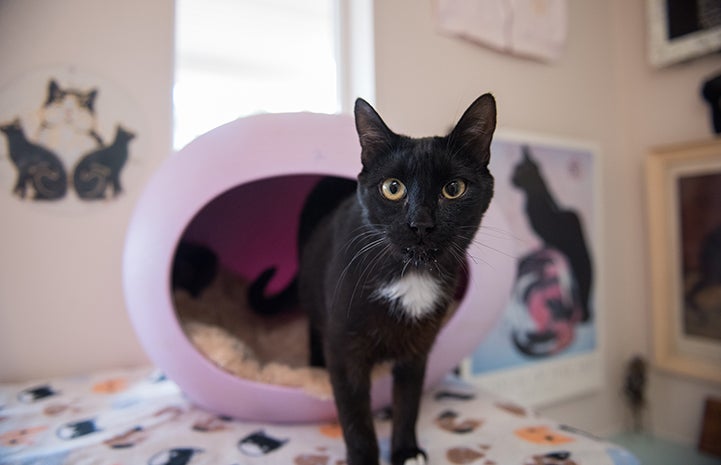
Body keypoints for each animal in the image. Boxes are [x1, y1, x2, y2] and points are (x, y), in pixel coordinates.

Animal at [250, 95, 492, 464]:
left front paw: (406, 452)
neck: (410, 274)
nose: (420, 224)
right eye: (393, 188)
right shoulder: (344, 349)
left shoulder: (417, 350)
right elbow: (355, 415)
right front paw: (365, 457)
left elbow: (408, 403)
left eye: (453, 189)